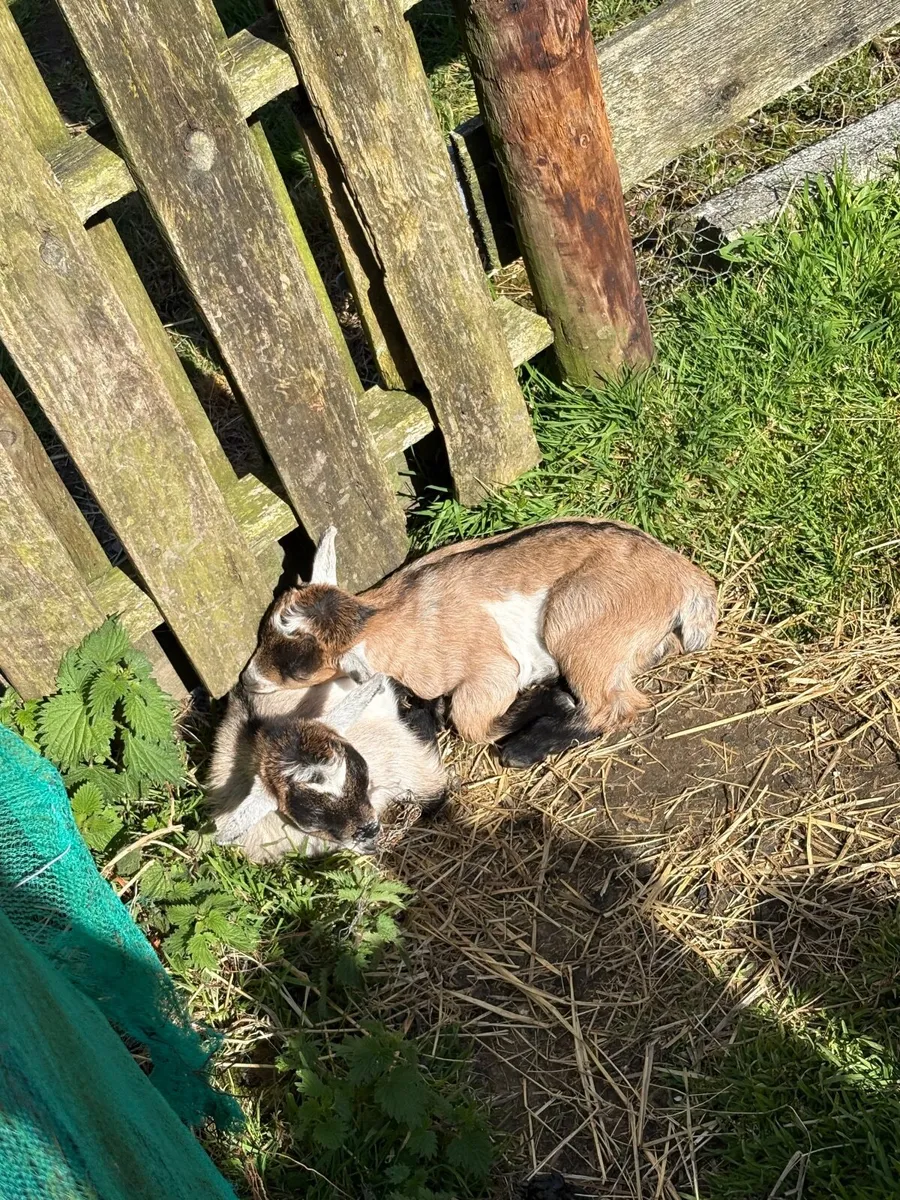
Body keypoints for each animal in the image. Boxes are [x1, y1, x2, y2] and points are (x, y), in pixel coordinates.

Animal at [240, 518, 718, 767]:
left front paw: (544, 702)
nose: (248, 680)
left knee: (614, 705)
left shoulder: (493, 668)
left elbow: (468, 720)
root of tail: (686, 578)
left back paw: (526, 747)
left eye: (299, 668)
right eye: (264, 631)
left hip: (577, 622)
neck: (386, 616)